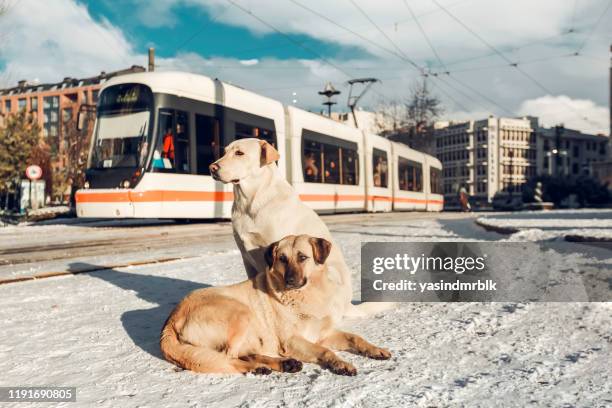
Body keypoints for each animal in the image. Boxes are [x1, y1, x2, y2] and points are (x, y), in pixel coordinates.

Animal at [160, 234, 390, 374]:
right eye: (282, 258)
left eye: (303, 257)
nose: (290, 280)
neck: (307, 294)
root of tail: (171, 319)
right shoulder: (292, 341)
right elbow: (325, 351)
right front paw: (341, 363)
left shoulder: (324, 334)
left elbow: (355, 337)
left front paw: (375, 349)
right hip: (240, 312)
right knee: (228, 357)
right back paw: (258, 368)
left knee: (245, 353)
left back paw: (283, 364)